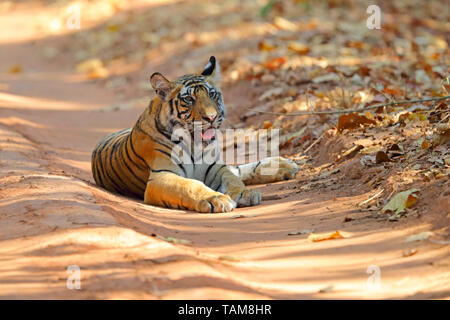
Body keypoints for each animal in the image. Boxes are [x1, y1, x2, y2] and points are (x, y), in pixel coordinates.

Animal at [90, 56, 298, 214]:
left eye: (212, 95)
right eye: (189, 99)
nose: (211, 117)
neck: (194, 143)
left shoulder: (215, 167)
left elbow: (233, 178)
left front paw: (244, 194)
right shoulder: (161, 176)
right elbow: (190, 185)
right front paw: (216, 199)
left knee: (236, 169)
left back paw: (282, 165)